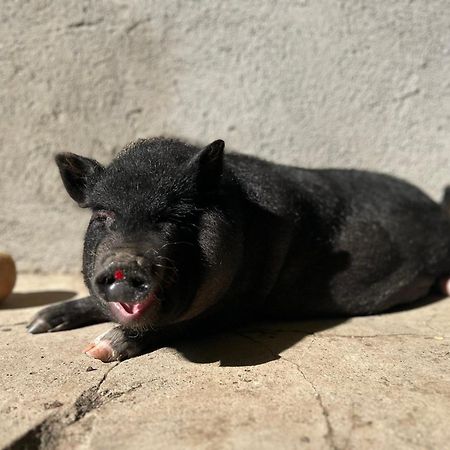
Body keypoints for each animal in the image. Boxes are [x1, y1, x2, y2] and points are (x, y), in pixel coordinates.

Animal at [27, 138, 450, 362]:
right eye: (103, 214)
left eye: (176, 216)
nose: (125, 264)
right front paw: (38, 323)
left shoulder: (242, 305)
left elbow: (181, 325)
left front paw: (100, 349)